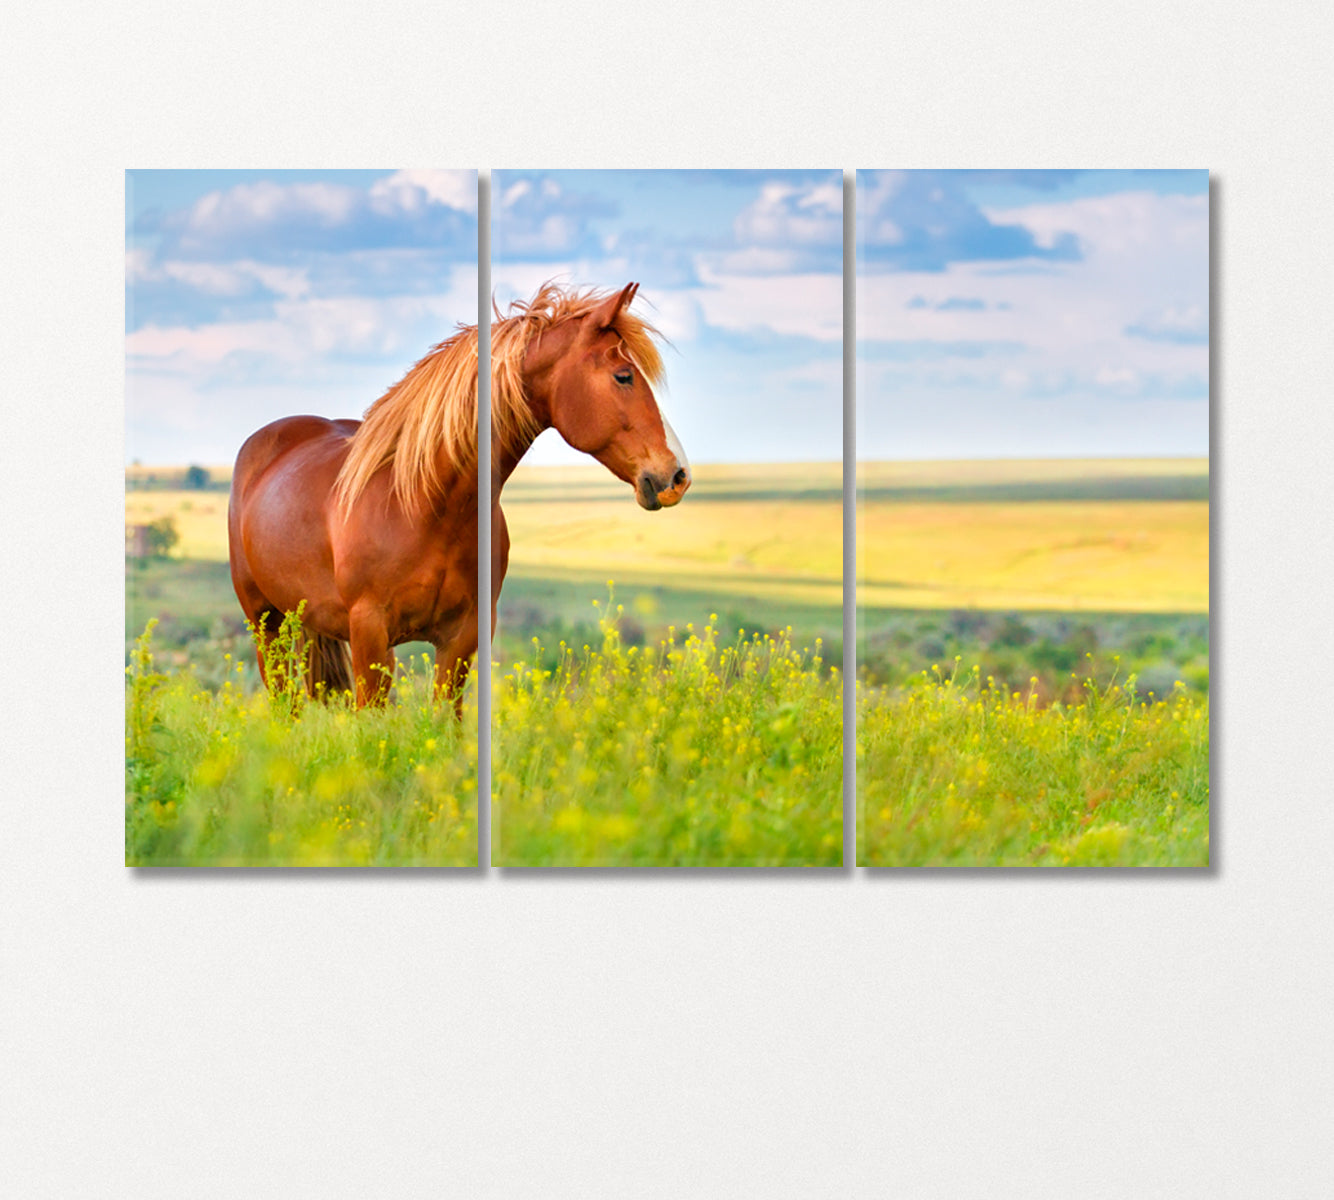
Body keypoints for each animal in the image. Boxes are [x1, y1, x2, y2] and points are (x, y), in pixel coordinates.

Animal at [228, 282, 688, 709]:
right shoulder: (369, 634)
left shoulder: (462, 637)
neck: (424, 507)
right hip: (266, 624)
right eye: (623, 376)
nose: (678, 475)